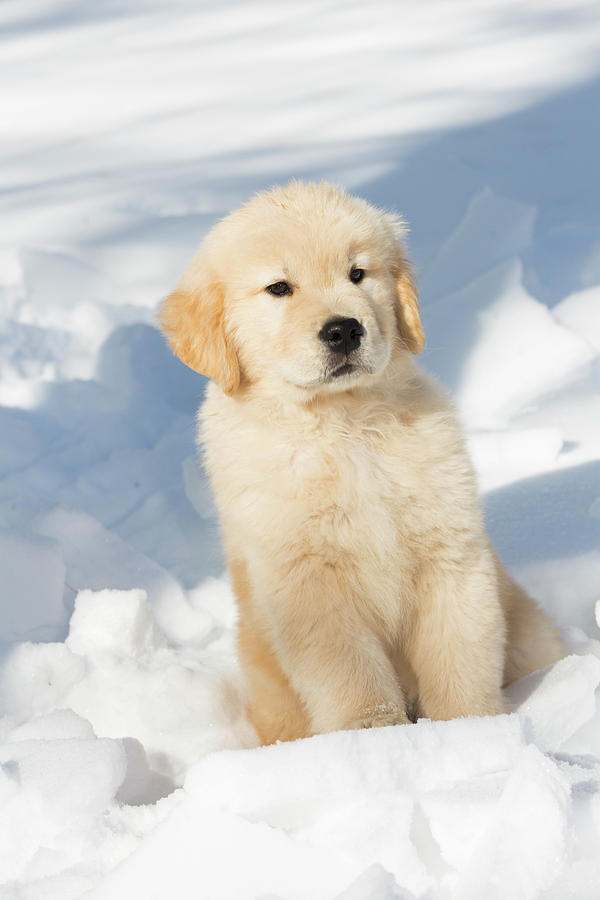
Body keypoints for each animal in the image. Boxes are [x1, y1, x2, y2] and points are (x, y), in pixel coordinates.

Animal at [158, 181, 564, 744]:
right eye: (279, 288)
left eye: (357, 274)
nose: (343, 330)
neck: (343, 423)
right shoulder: (310, 582)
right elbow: (351, 675)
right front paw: (373, 735)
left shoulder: (450, 556)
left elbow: (459, 655)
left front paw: (469, 729)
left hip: (529, 630)